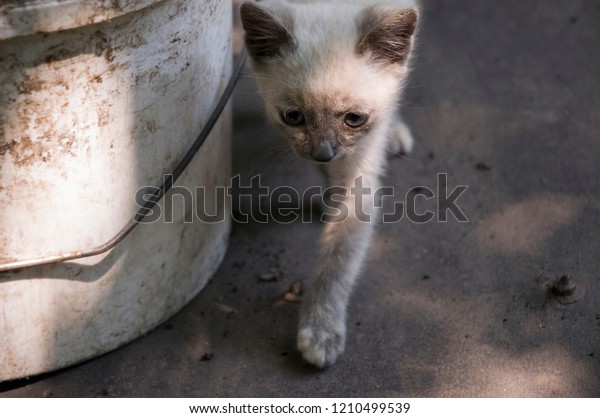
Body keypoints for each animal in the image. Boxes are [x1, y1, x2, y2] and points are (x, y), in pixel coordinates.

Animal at [239, 0, 418, 366]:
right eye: (293, 117)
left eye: (354, 119)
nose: (324, 153)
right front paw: (328, 198)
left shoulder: (359, 178)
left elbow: (337, 260)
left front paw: (320, 332)